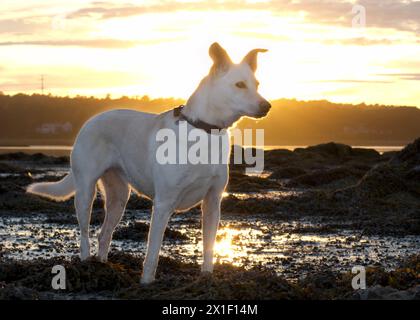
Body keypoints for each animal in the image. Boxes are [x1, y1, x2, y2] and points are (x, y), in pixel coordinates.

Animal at [26, 42, 270, 282]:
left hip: (119, 196)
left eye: (257, 84)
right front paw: (146, 284)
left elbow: (209, 247)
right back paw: (87, 264)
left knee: (104, 234)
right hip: (86, 191)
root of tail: (90, 121)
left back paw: (104, 266)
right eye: (239, 85)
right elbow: (153, 252)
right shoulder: (163, 204)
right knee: (85, 233)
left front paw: (207, 278)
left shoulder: (212, 201)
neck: (205, 130)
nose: (267, 106)